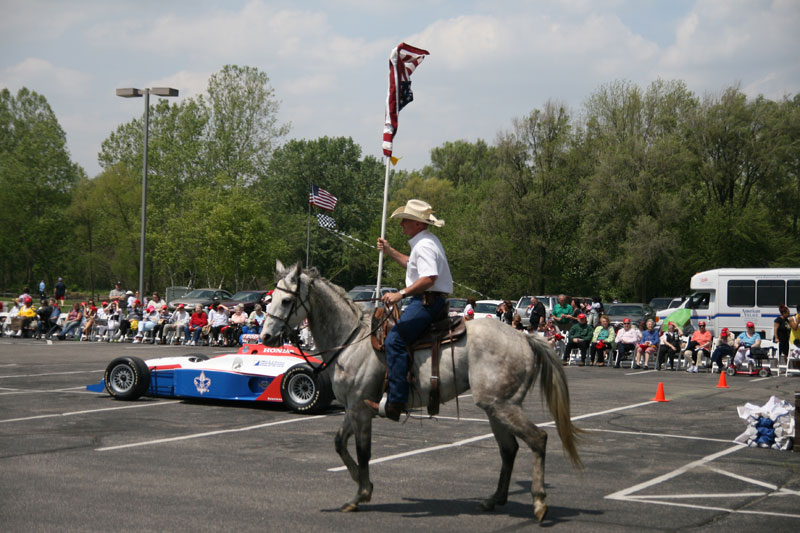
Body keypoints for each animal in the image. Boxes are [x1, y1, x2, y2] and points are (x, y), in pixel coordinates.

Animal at [262, 260, 580, 520]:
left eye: (287, 300)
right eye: (269, 300)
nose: (266, 336)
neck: (352, 339)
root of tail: (525, 338)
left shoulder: (361, 410)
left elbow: (364, 452)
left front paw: (361, 494)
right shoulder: (355, 407)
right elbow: (340, 443)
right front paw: (362, 486)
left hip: (503, 405)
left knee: (538, 439)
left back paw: (539, 503)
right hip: (495, 406)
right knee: (509, 449)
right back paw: (494, 499)